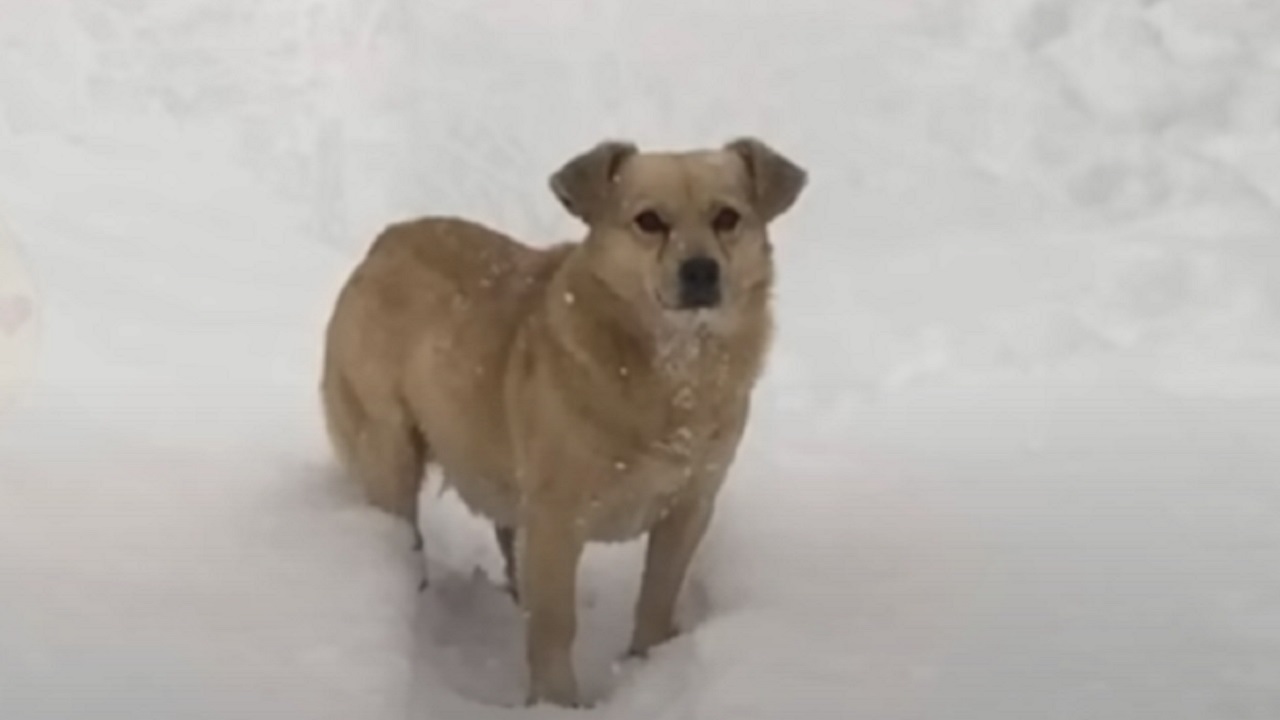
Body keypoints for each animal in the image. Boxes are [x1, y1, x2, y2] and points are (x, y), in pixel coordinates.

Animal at [320, 137, 803, 702]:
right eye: (649, 221)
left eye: (728, 217)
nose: (701, 270)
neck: (672, 372)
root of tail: (386, 240)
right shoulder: (556, 521)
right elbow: (555, 623)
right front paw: (555, 702)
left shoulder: (690, 507)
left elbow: (658, 595)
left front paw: (648, 664)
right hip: (390, 454)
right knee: (408, 531)